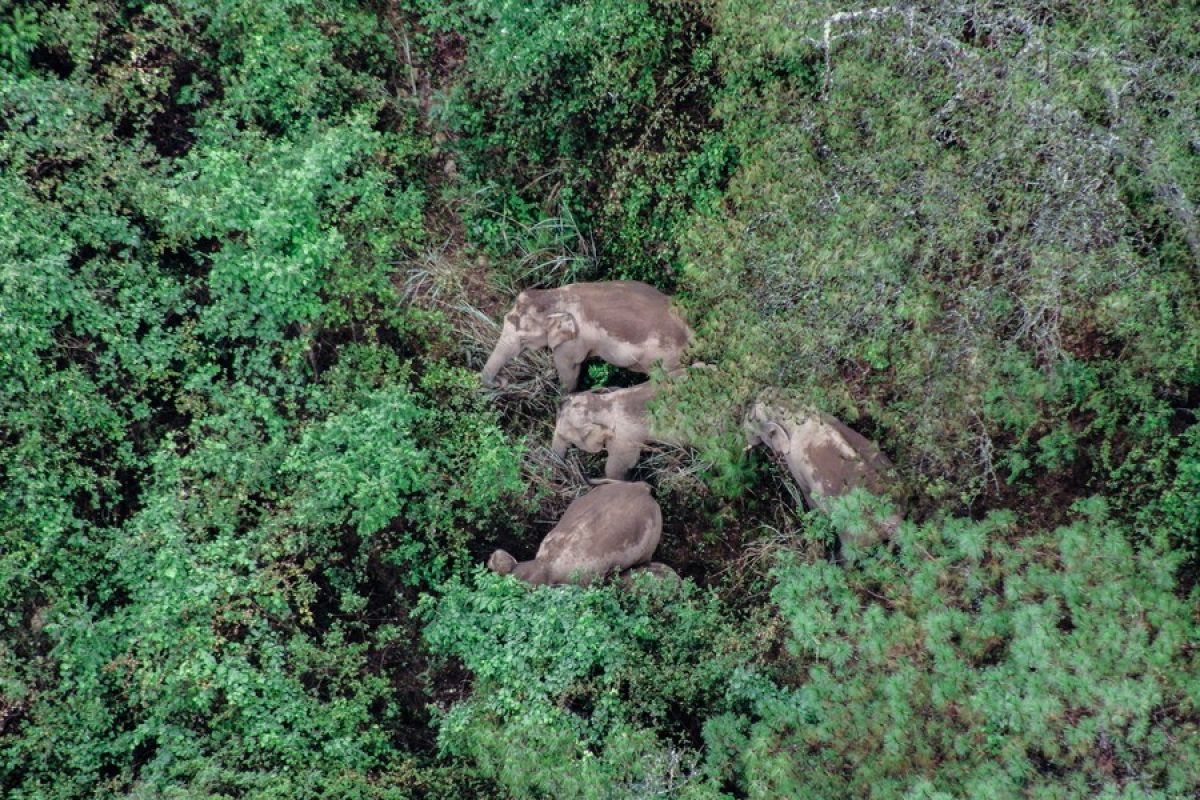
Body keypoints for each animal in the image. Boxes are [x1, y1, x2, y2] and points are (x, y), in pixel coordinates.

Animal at [472, 281, 691, 393]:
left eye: (523, 339)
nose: (502, 382)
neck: (556, 296)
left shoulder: (572, 342)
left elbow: (568, 371)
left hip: (669, 360)